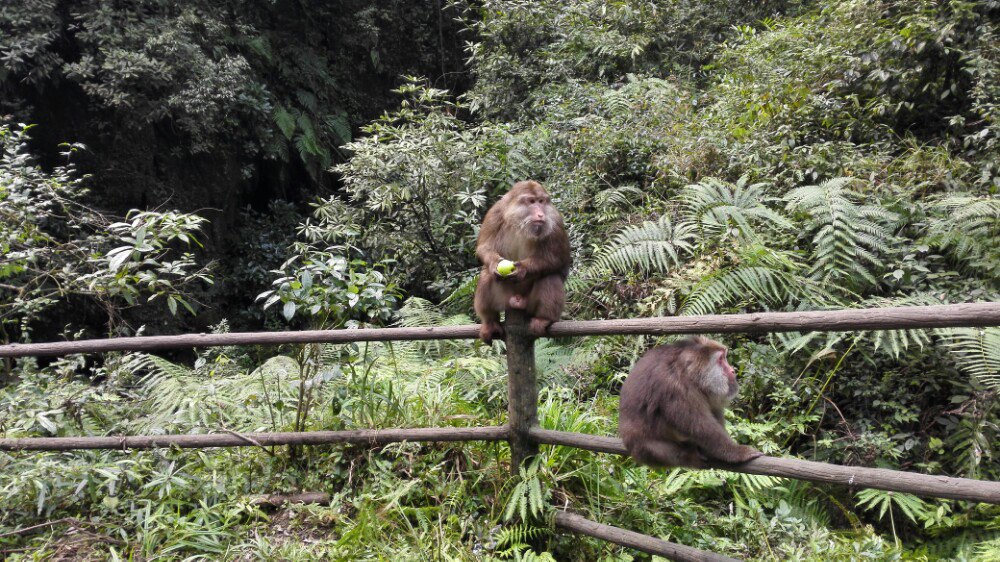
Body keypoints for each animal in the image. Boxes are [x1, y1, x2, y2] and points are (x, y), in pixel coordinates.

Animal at [474, 182, 572, 344]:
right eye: (531, 202)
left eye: (541, 201)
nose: (541, 214)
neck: (521, 223)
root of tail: (517, 300)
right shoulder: (495, 212)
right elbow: (485, 246)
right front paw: (494, 263)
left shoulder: (555, 220)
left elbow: (558, 259)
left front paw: (522, 269)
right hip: (504, 298)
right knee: (487, 274)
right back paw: (490, 322)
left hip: (530, 304)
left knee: (550, 276)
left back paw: (544, 319)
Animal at [616, 334, 764, 466]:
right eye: (721, 359)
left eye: (724, 357)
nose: (732, 370)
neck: (690, 376)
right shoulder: (675, 388)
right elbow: (699, 426)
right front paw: (736, 452)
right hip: (648, 449)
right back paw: (688, 455)